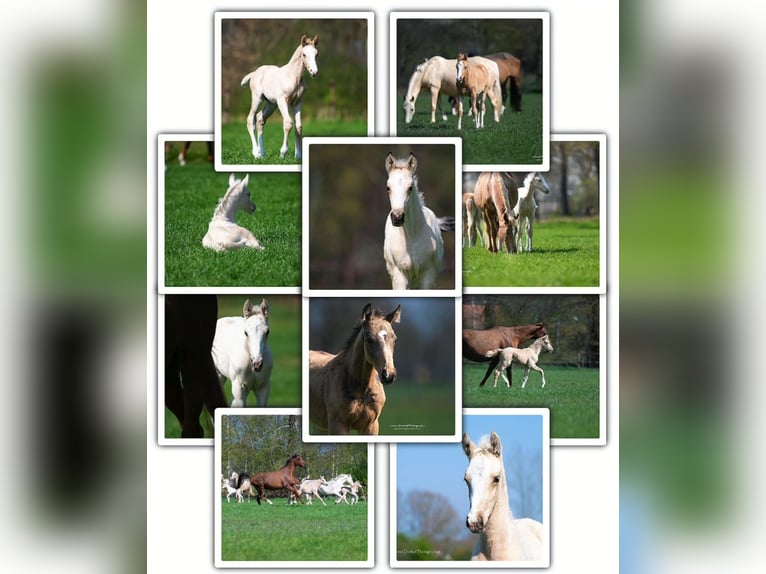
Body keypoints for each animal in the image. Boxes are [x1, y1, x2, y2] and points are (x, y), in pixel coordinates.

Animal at [308, 303, 401, 435]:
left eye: (395, 339)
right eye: (369, 339)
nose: (389, 375)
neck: (361, 389)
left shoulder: (371, 426)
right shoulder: (338, 425)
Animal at [383, 152, 454, 290]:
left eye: (410, 187)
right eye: (388, 187)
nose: (397, 217)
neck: (412, 238)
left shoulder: (428, 275)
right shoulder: (400, 275)